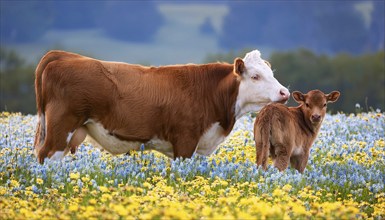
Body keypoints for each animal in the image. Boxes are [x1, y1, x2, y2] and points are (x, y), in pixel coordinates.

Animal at [33, 49, 288, 163]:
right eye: (255, 76)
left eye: (272, 73)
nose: (284, 92)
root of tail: (63, 55)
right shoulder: (185, 141)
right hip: (61, 127)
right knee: (46, 156)